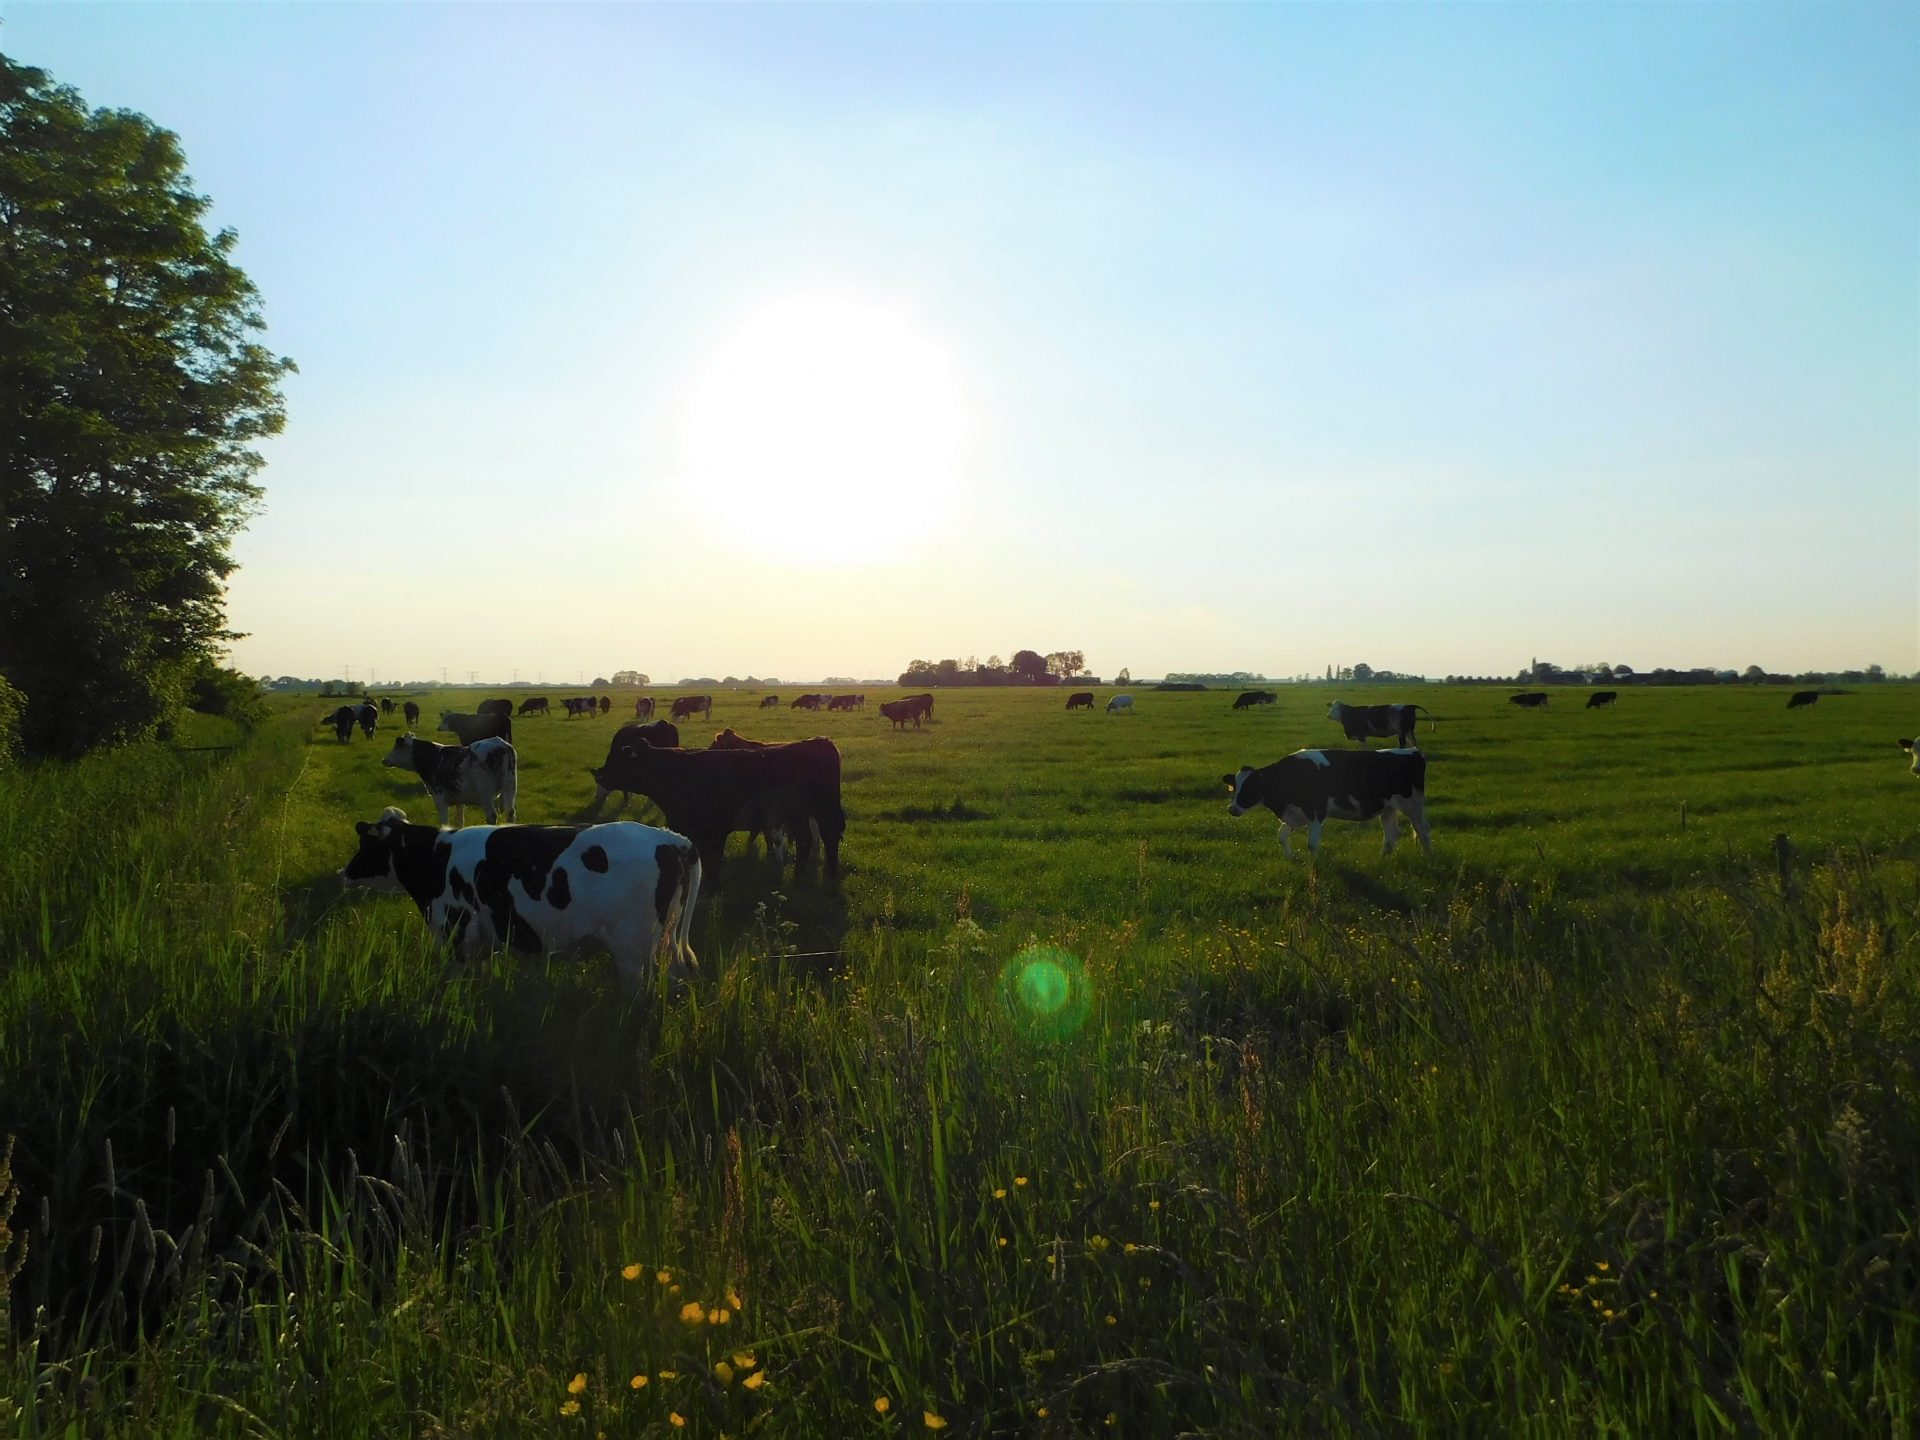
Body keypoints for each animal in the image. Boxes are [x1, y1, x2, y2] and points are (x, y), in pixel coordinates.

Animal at [339, 814, 706, 1006]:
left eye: (366, 844)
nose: (343, 872)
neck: (436, 858)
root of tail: (671, 839)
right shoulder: (482, 942)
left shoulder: (456, 934)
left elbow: (455, 985)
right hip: (665, 940)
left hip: (631, 950)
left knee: (640, 998)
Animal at [384, 737, 522, 829]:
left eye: (396, 747)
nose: (384, 760)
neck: (434, 758)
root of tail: (500, 744)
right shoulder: (460, 800)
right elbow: (459, 821)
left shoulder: (440, 799)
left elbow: (445, 822)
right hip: (511, 787)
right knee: (511, 813)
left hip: (485, 795)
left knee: (492, 816)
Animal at [583, 737, 848, 875]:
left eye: (622, 760)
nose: (600, 776)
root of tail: (821, 741)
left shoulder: (717, 830)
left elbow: (713, 863)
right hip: (799, 815)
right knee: (806, 841)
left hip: (822, 811)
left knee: (828, 837)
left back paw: (829, 873)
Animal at [1221, 748, 1436, 864]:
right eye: (1235, 787)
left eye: (1250, 787)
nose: (1232, 809)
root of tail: (1413, 751)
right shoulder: (1293, 813)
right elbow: (1281, 836)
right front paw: (1291, 858)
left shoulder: (1316, 811)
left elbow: (1312, 843)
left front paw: (1316, 864)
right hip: (1388, 808)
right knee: (1392, 834)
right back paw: (1381, 858)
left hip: (1413, 806)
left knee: (1423, 831)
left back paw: (1428, 859)